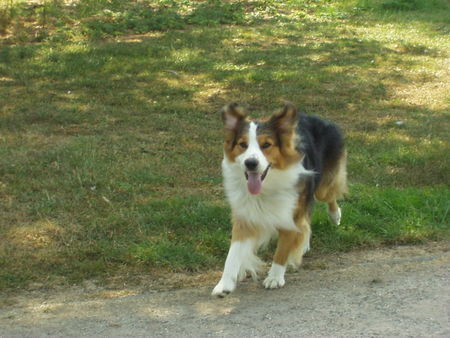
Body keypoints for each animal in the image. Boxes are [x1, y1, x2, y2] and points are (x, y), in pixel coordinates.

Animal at [212, 102, 348, 296]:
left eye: (266, 145)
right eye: (242, 144)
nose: (250, 163)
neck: (266, 185)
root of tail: (318, 117)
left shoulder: (289, 215)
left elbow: (282, 250)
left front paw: (275, 277)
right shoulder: (245, 216)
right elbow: (233, 253)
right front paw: (225, 283)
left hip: (322, 187)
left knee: (329, 197)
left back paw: (335, 216)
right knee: (307, 219)